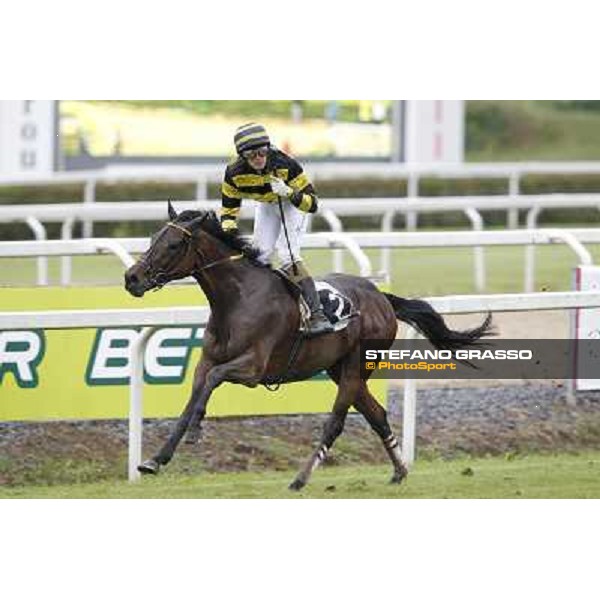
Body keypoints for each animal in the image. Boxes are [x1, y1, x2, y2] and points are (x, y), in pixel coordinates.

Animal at [123, 204, 492, 490]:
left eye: (173, 245)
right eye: (153, 239)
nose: (132, 278)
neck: (238, 299)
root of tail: (381, 297)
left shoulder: (253, 368)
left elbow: (213, 381)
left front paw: (197, 431)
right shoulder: (207, 361)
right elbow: (192, 399)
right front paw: (155, 459)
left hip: (356, 366)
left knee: (336, 422)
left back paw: (301, 478)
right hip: (339, 367)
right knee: (377, 415)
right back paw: (400, 470)